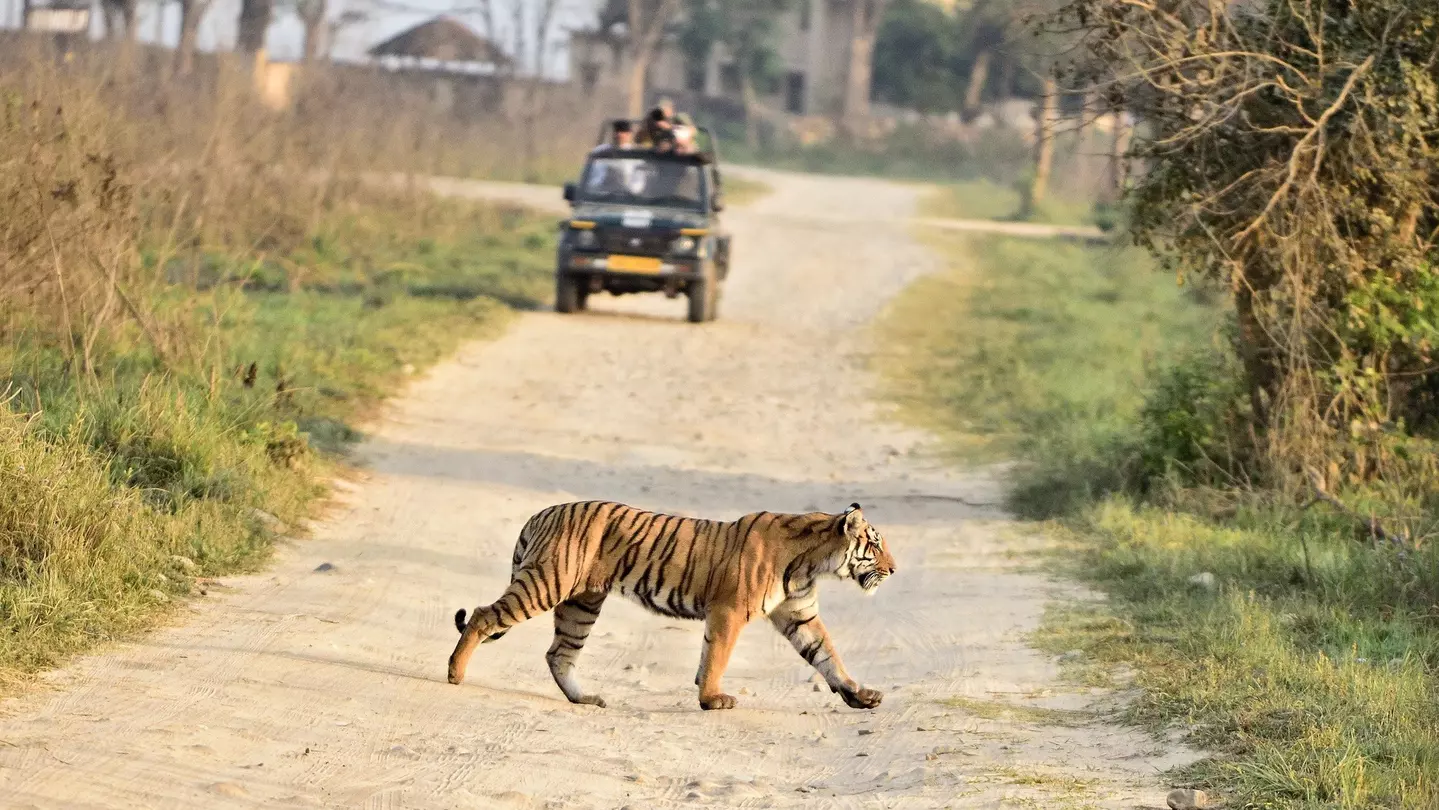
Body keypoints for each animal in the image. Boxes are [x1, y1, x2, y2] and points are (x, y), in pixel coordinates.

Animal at [446, 500, 897, 711]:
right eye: (874, 546)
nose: (893, 569)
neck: (813, 562)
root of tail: (541, 513)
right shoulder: (728, 611)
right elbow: (716, 656)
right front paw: (712, 699)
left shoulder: (800, 616)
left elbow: (828, 656)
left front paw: (861, 695)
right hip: (546, 583)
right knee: (484, 616)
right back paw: (455, 674)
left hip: (581, 603)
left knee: (559, 653)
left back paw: (585, 699)